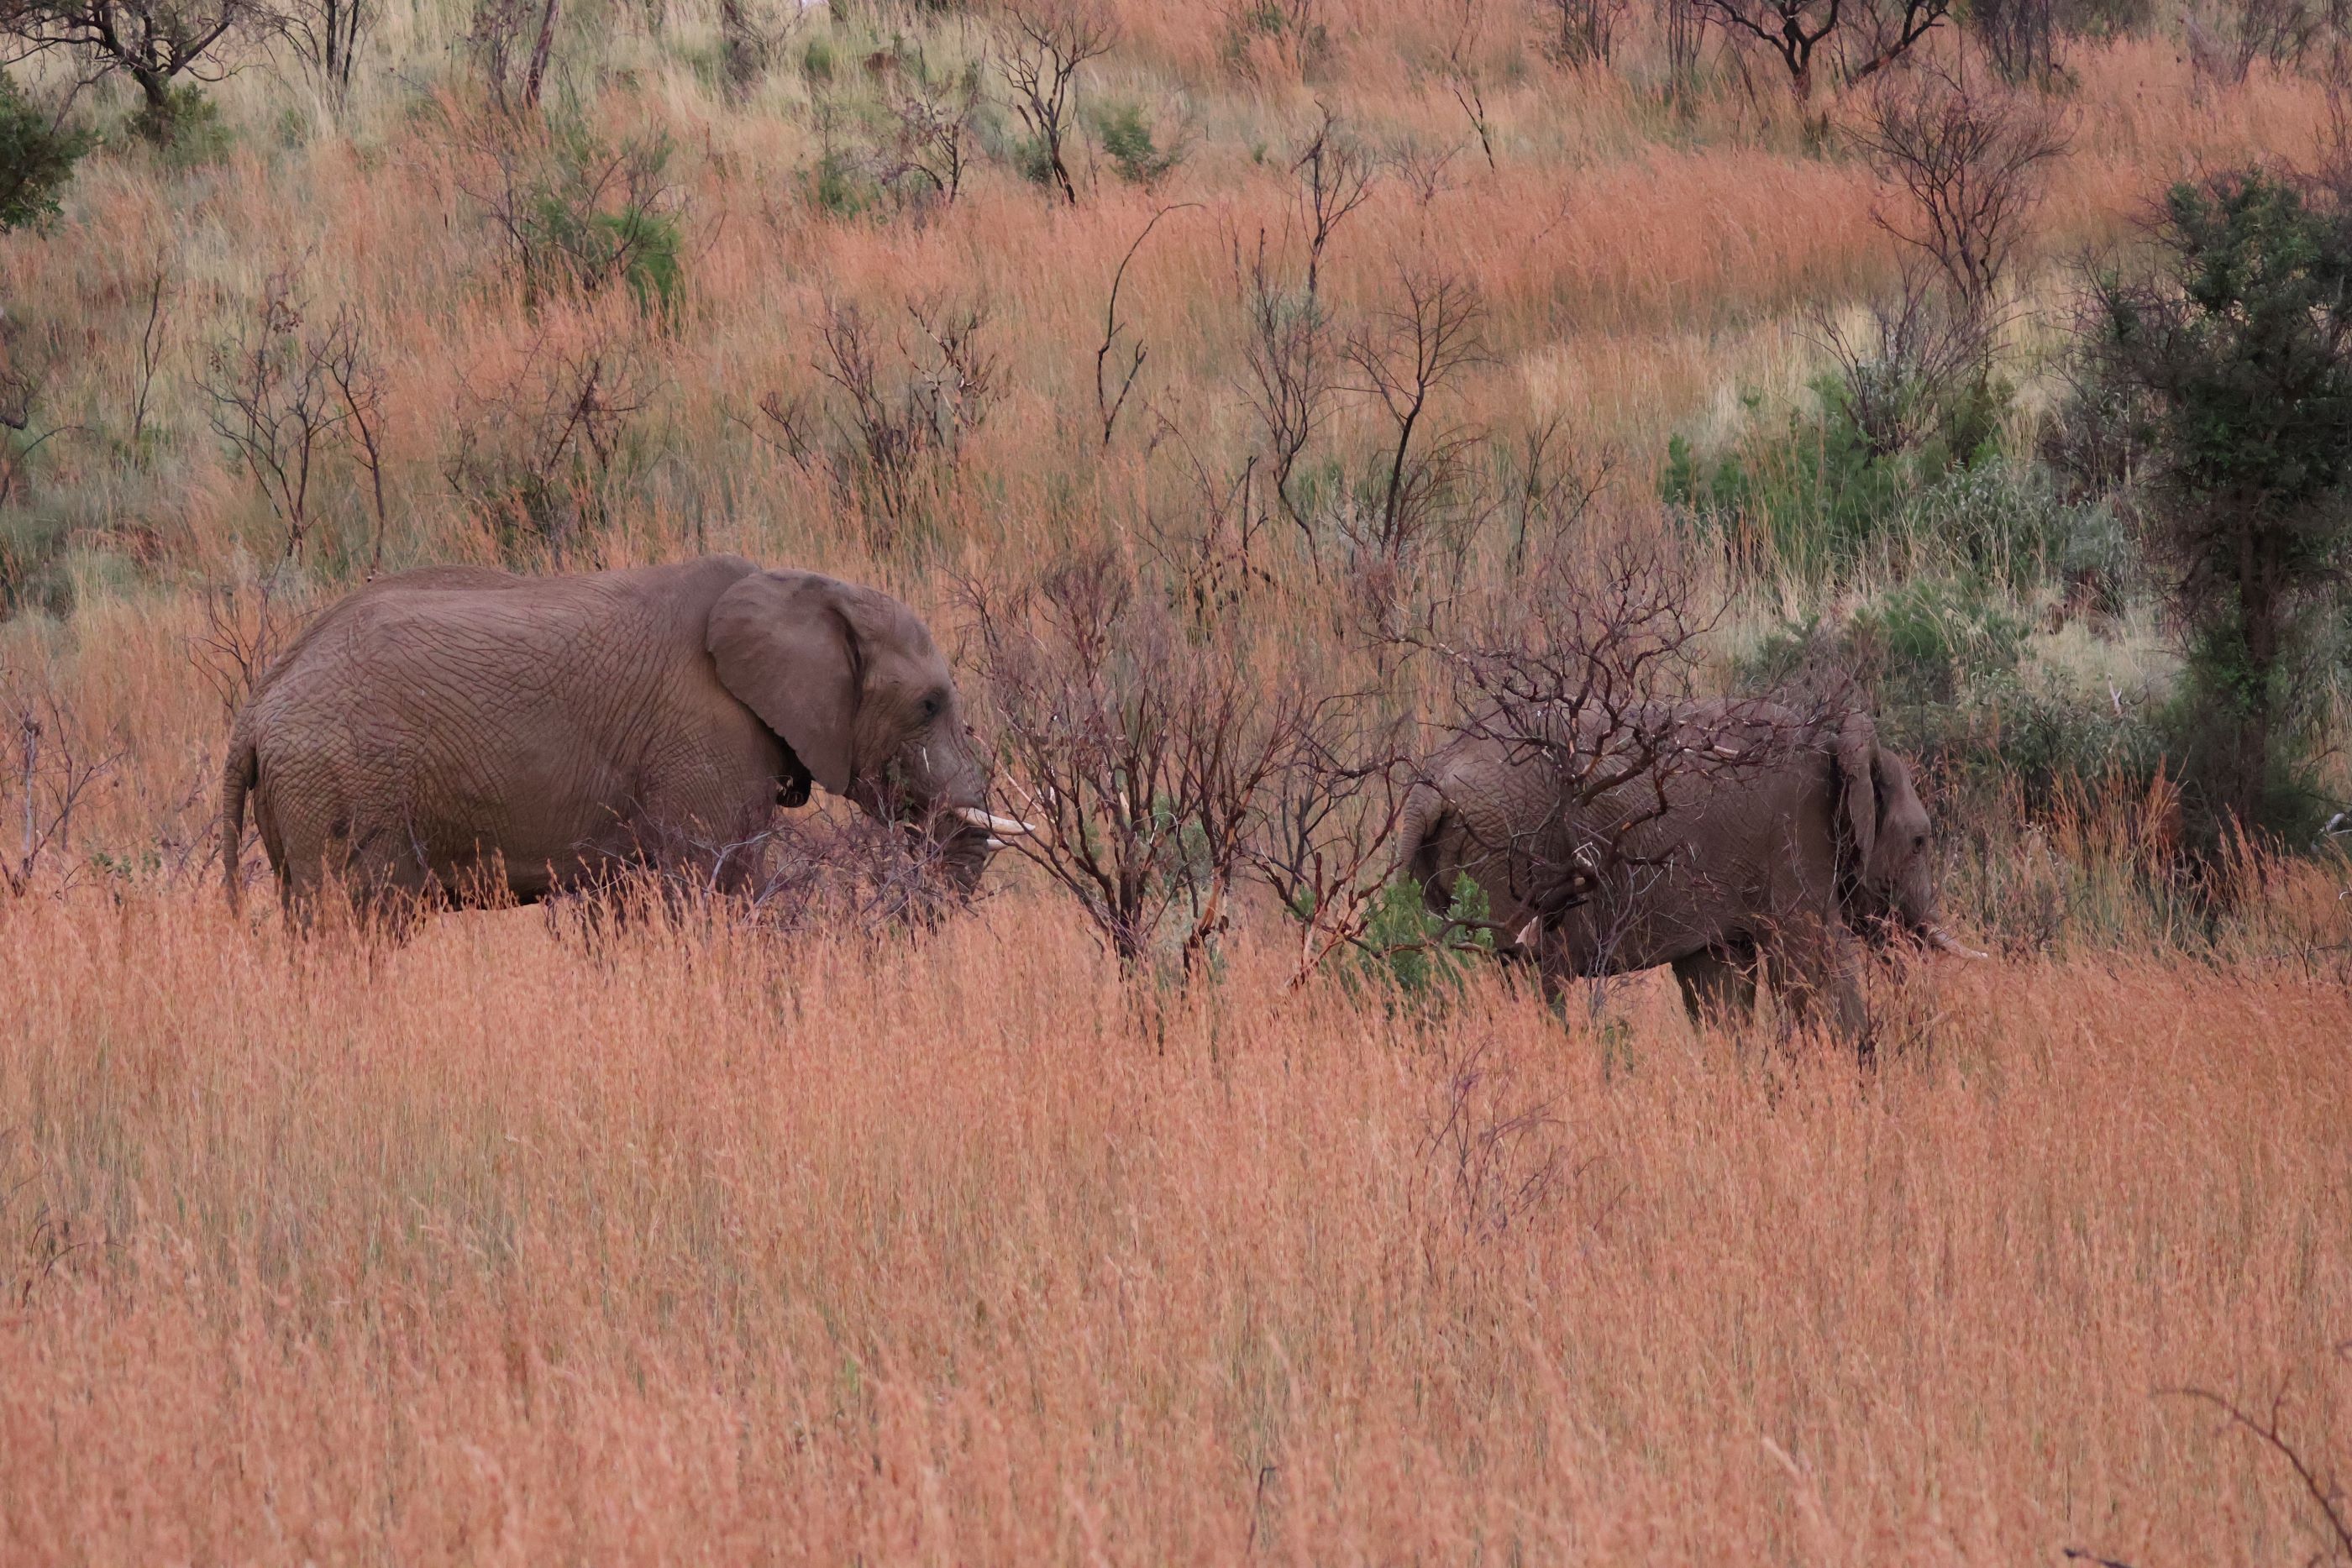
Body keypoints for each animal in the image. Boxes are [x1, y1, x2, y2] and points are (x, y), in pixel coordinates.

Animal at [219, 555, 1028, 920]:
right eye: (929, 704)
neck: (799, 585)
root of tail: (255, 711)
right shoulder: (705, 744)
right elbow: (717, 885)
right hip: (343, 786)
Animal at [1394, 700, 1983, 1044]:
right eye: (1920, 842)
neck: (1839, 741)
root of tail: (1425, 785)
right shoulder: (1795, 839)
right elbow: (1812, 959)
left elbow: (1718, 981)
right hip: (1512, 851)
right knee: (1531, 975)